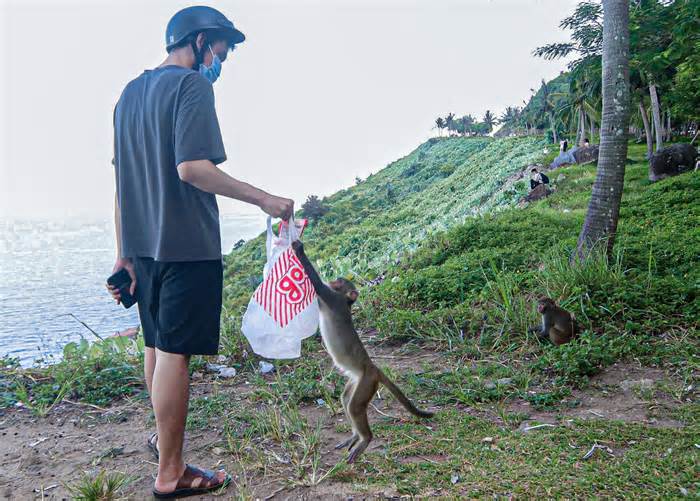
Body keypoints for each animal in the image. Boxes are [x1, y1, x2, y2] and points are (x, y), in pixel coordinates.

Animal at [290, 240, 432, 462]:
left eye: (340, 281)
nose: (335, 278)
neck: (345, 301)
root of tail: (373, 367)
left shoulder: (333, 299)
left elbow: (318, 285)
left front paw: (299, 249)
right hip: (357, 379)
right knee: (346, 399)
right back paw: (355, 436)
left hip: (367, 381)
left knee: (355, 406)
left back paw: (365, 439)